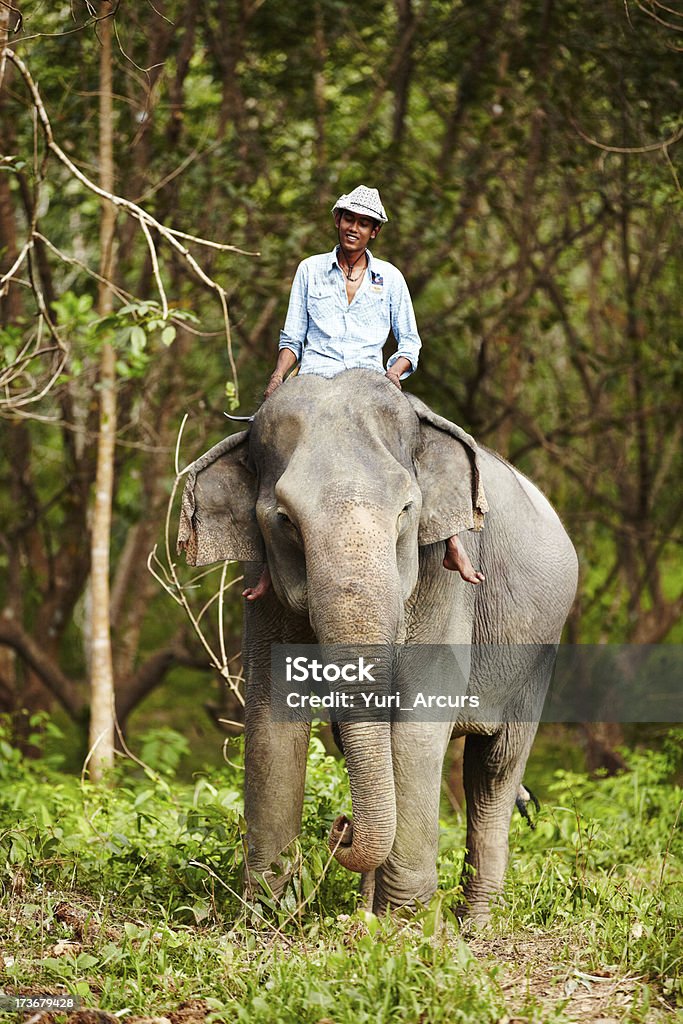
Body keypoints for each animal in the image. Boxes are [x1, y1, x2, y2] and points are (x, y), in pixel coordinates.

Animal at [176, 370, 577, 921]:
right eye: (285, 520)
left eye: (407, 510)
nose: (341, 828)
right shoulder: (262, 585)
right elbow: (272, 713)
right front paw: (266, 916)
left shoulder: (444, 573)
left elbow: (417, 724)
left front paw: (404, 924)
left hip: (540, 652)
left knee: (494, 769)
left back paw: (474, 923)